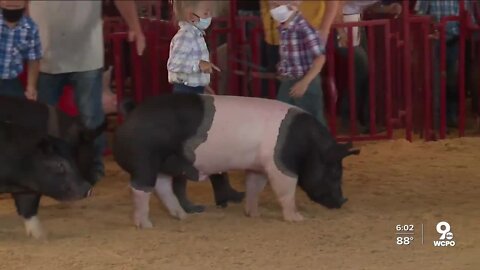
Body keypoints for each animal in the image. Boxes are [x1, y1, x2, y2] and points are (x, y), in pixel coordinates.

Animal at [113, 93, 360, 228]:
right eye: (335, 172)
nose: (343, 200)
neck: (308, 147)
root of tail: (131, 113)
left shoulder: (258, 167)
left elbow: (254, 188)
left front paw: (254, 214)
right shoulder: (279, 166)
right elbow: (286, 192)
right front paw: (297, 219)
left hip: (164, 165)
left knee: (163, 188)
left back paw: (182, 216)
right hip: (145, 159)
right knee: (139, 189)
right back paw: (146, 225)